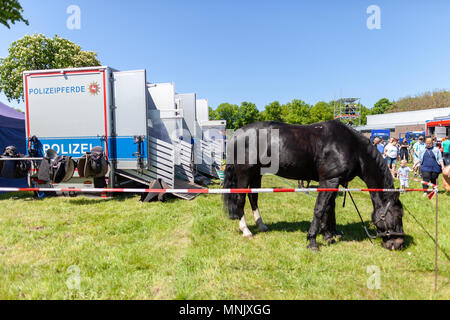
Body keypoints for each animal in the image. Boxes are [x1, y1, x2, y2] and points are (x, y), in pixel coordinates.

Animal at [223, 121, 406, 251]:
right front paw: (312, 240)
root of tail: (237, 134)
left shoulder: (334, 182)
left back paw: (261, 225)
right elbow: (320, 208)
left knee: (253, 197)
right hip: (245, 174)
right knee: (240, 199)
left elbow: (329, 208)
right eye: (398, 215)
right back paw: (246, 230)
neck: (353, 147)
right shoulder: (329, 180)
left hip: (256, 174)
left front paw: (329, 234)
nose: (398, 243)